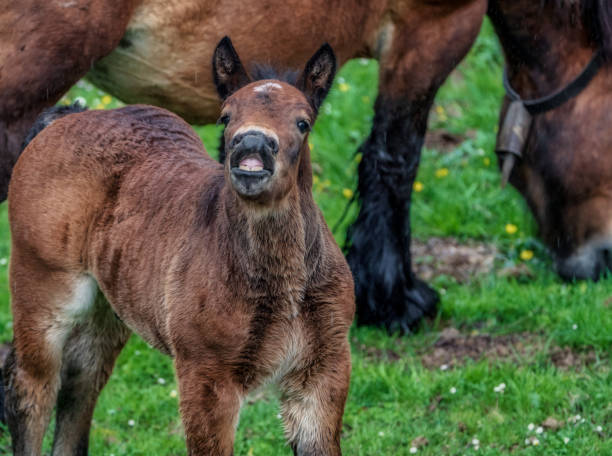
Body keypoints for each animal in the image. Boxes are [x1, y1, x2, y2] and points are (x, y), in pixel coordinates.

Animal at [1, 38, 354, 456]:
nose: (251, 146)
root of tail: (65, 118)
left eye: (303, 123)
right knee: (32, 384)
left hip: (110, 305)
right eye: (225, 117)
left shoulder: (324, 370)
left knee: (82, 378)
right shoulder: (206, 372)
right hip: (42, 283)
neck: (283, 285)